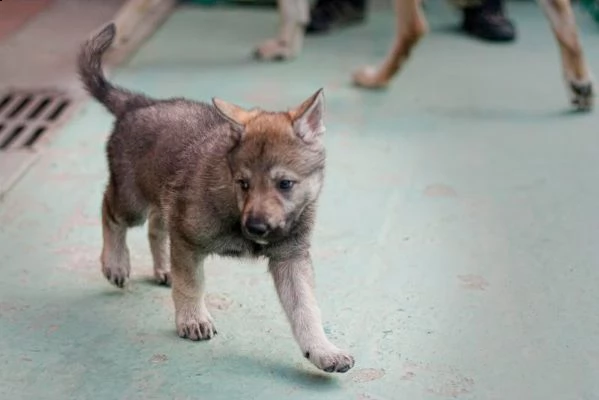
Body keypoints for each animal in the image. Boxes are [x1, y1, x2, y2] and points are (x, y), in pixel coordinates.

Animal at [77, 23, 354, 372]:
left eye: (285, 184)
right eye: (243, 183)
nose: (256, 228)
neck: (234, 205)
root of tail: (139, 104)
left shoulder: (290, 258)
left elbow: (306, 310)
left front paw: (322, 350)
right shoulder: (188, 240)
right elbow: (191, 284)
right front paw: (192, 319)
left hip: (163, 200)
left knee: (156, 227)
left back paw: (163, 267)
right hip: (132, 201)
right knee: (109, 210)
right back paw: (115, 263)